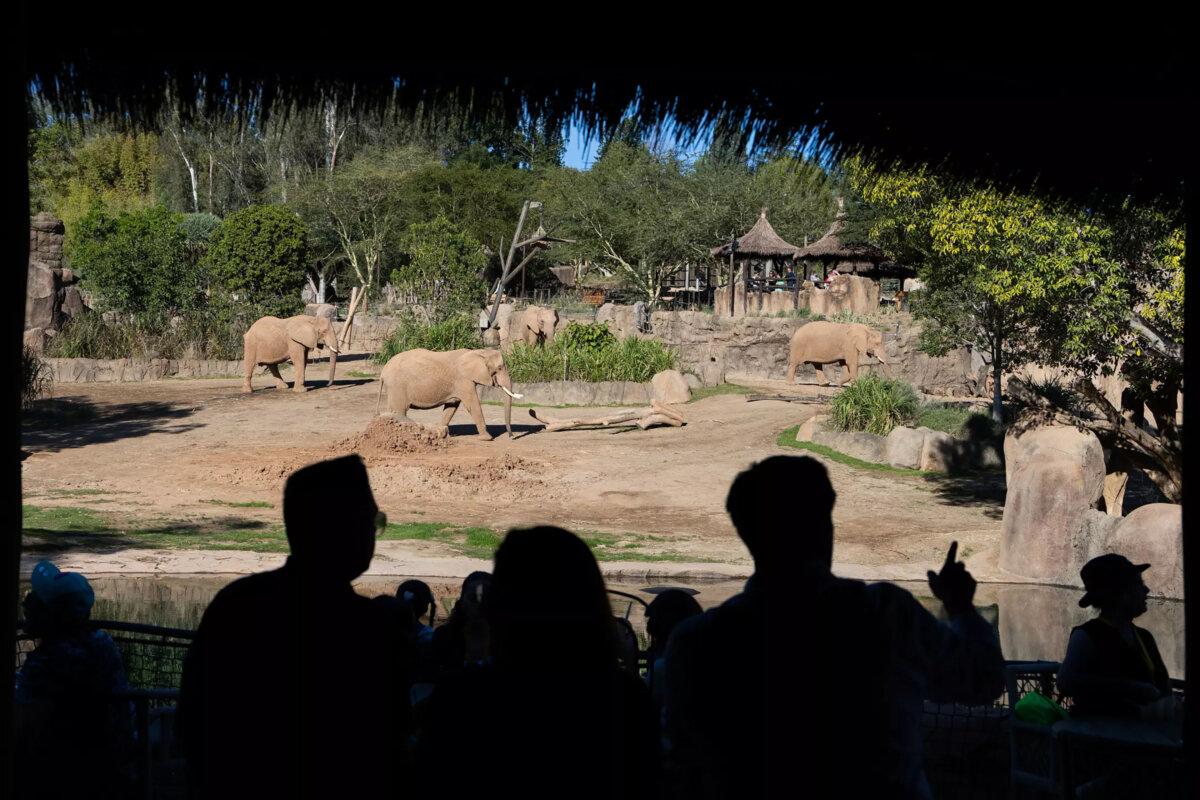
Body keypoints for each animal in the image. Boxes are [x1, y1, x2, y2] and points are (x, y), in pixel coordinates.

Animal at [379, 348, 522, 440]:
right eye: (499, 368)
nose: (512, 437)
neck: (477, 352)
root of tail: (383, 371)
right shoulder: (463, 380)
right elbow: (473, 404)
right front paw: (486, 438)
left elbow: (452, 406)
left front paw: (441, 434)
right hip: (397, 386)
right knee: (399, 410)